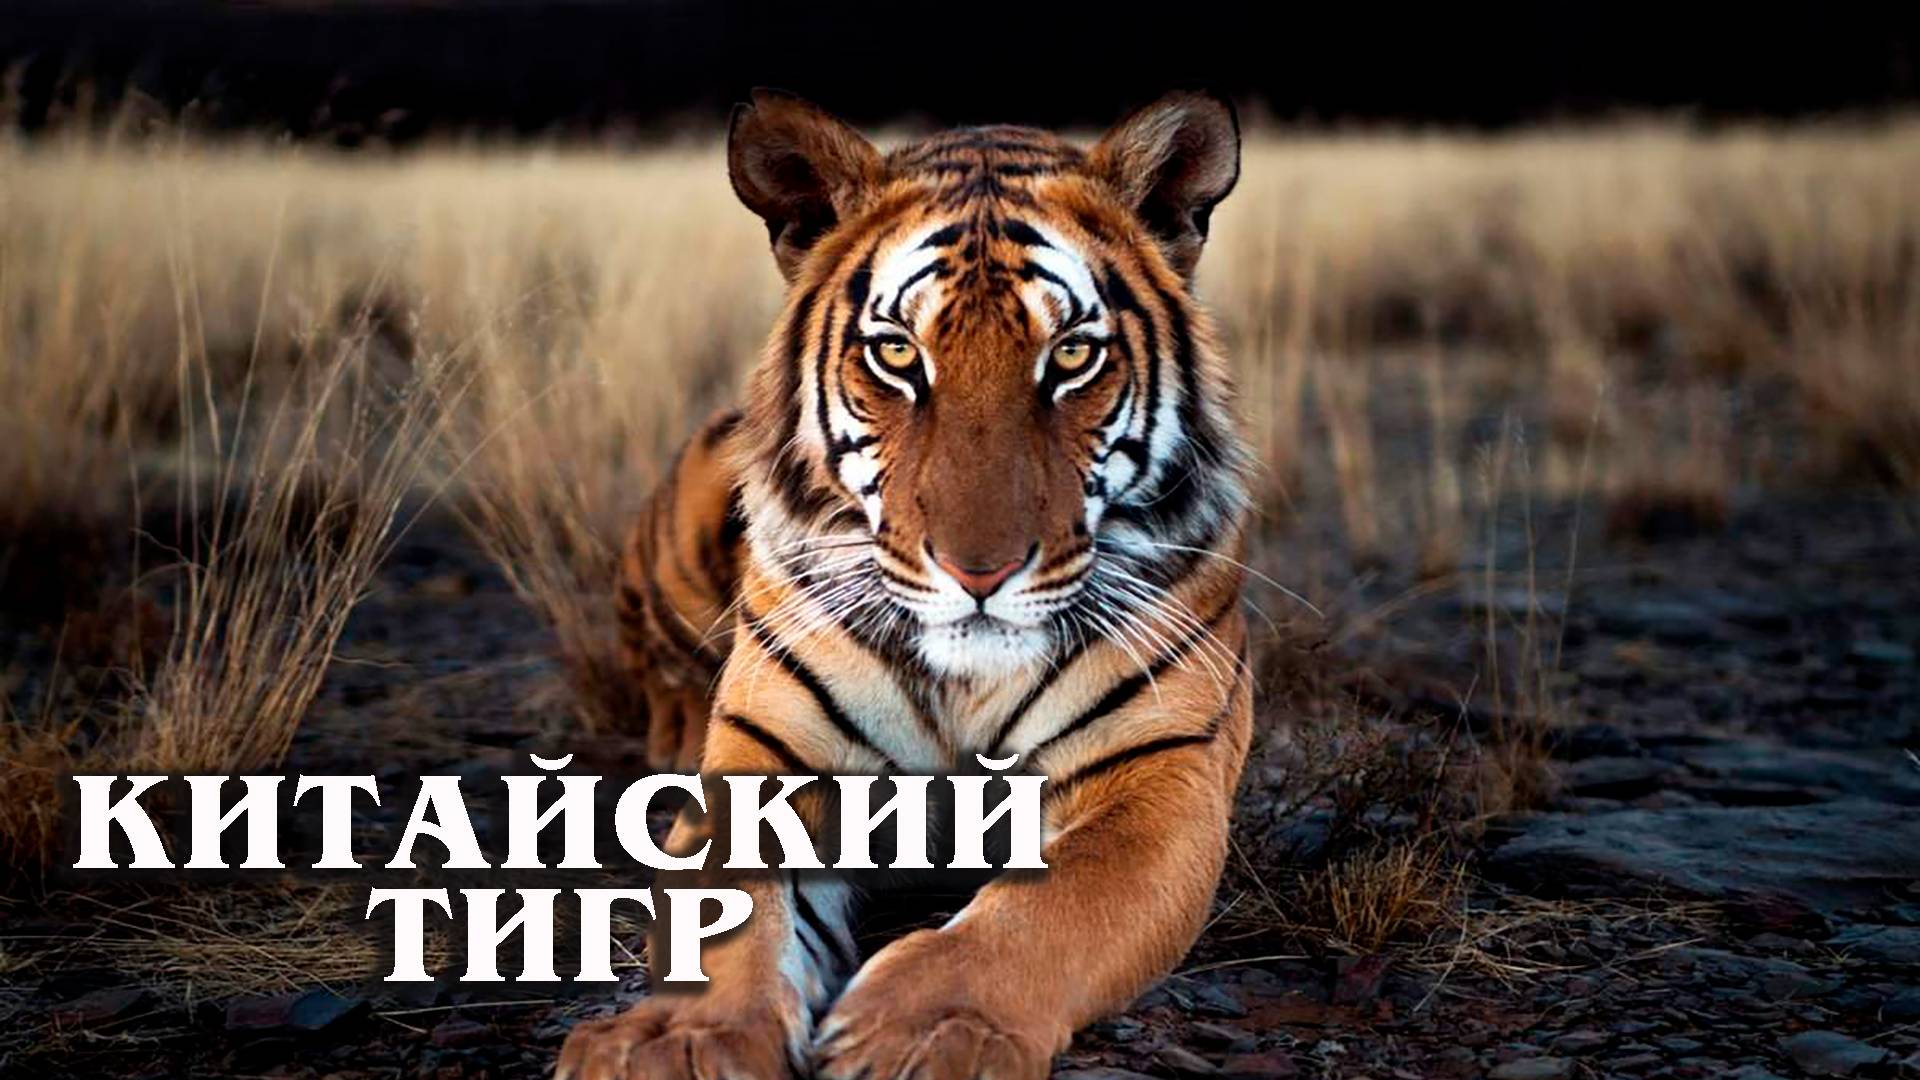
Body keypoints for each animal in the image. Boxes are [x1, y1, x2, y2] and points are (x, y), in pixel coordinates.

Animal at [560, 89, 1253, 1080]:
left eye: (1070, 357)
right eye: (896, 355)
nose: (979, 571)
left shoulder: (1160, 776)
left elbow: (1055, 908)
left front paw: (931, 1031)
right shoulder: (769, 757)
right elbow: (729, 911)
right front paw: (679, 1042)